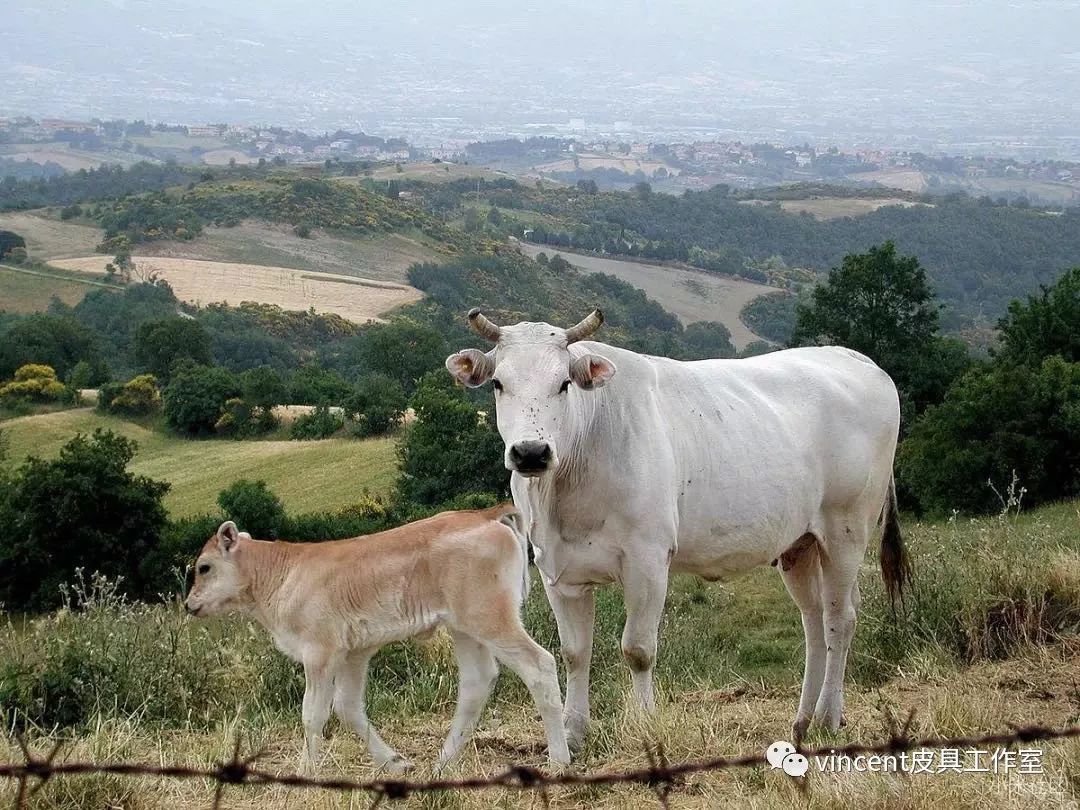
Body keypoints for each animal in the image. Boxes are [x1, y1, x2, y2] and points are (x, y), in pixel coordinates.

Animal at [442, 306, 907, 751]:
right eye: (498, 383)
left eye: (564, 384)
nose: (531, 452)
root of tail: (853, 356)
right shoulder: (556, 567)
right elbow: (575, 652)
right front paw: (573, 734)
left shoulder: (647, 560)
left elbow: (638, 650)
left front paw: (646, 725)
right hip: (800, 542)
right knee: (814, 622)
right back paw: (803, 721)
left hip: (846, 530)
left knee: (840, 620)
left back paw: (827, 718)